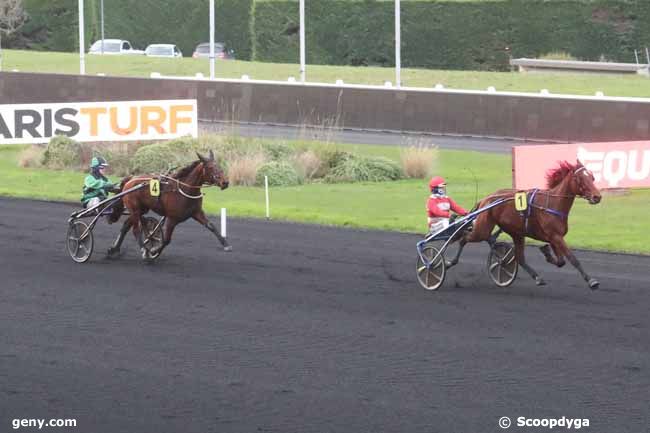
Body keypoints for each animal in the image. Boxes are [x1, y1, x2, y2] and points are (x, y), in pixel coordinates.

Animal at [446, 160, 604, 288]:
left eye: (592, 177)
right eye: (580, 178)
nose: (597, 197)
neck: (553, 204)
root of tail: (486, 199)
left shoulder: (554, 238)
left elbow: (561, 261)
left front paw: (546, 253)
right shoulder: (555, 236)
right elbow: (572, 258)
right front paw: (591, 281)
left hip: (516, 233)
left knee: (518, 257)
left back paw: (534, 276)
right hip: (483, 229)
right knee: (464, 238)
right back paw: (449, 262)